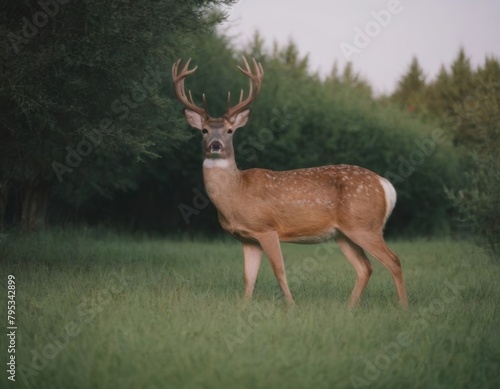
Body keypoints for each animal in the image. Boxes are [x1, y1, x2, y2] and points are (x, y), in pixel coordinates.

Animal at [171, 56, 406, 308]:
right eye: (204, 131)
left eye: (230, 131)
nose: (216, 145)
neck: (237, 192)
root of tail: (385, 185)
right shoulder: (248, 238)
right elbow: (248, 277)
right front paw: (243, 307)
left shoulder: (267, 228)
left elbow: (279, 271)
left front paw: (291, 306)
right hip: (344, 233)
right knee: (365, 268)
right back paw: (349, 307)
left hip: (365, 226)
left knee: (394, 260)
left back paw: (403, 307)